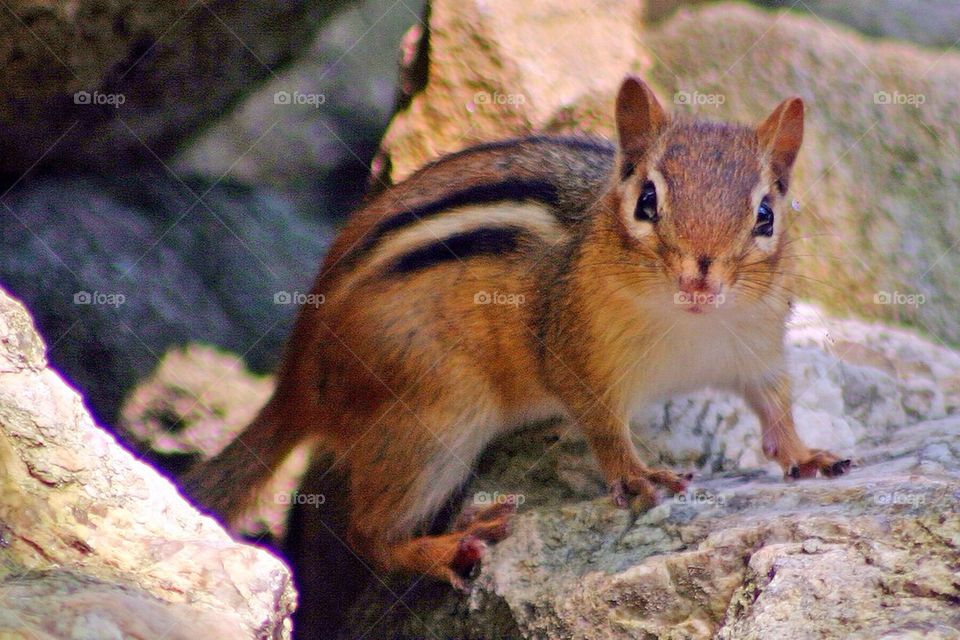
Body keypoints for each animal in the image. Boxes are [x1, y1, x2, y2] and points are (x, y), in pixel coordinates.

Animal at [183, 75, 851, 590]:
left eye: (765, 215)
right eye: (647, 201)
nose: (700, 277)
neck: (692, 327)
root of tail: (296, 376)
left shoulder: (757, 349)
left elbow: (775, 407)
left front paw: (806, 455)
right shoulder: (576, 355)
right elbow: (601, 422)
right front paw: (636, 474)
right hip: (435, 414)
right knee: (368, 534)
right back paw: (447, 546)